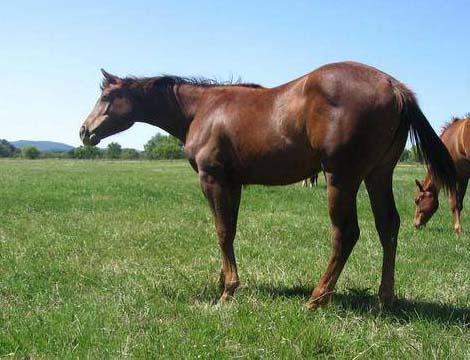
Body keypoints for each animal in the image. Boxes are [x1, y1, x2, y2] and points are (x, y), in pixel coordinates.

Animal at [80, 62, 456, 310]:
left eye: (107, 98)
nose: (85, 131)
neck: (203, 109)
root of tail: (394, 86)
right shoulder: (233, 183)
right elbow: (229, 230)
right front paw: (222, 280)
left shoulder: (212, 179)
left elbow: (221, 231)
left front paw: (228, 290)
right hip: (377, 174)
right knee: (387, 226)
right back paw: (384, 299)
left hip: (341, 178)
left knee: (346, 232)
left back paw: (317, 299)